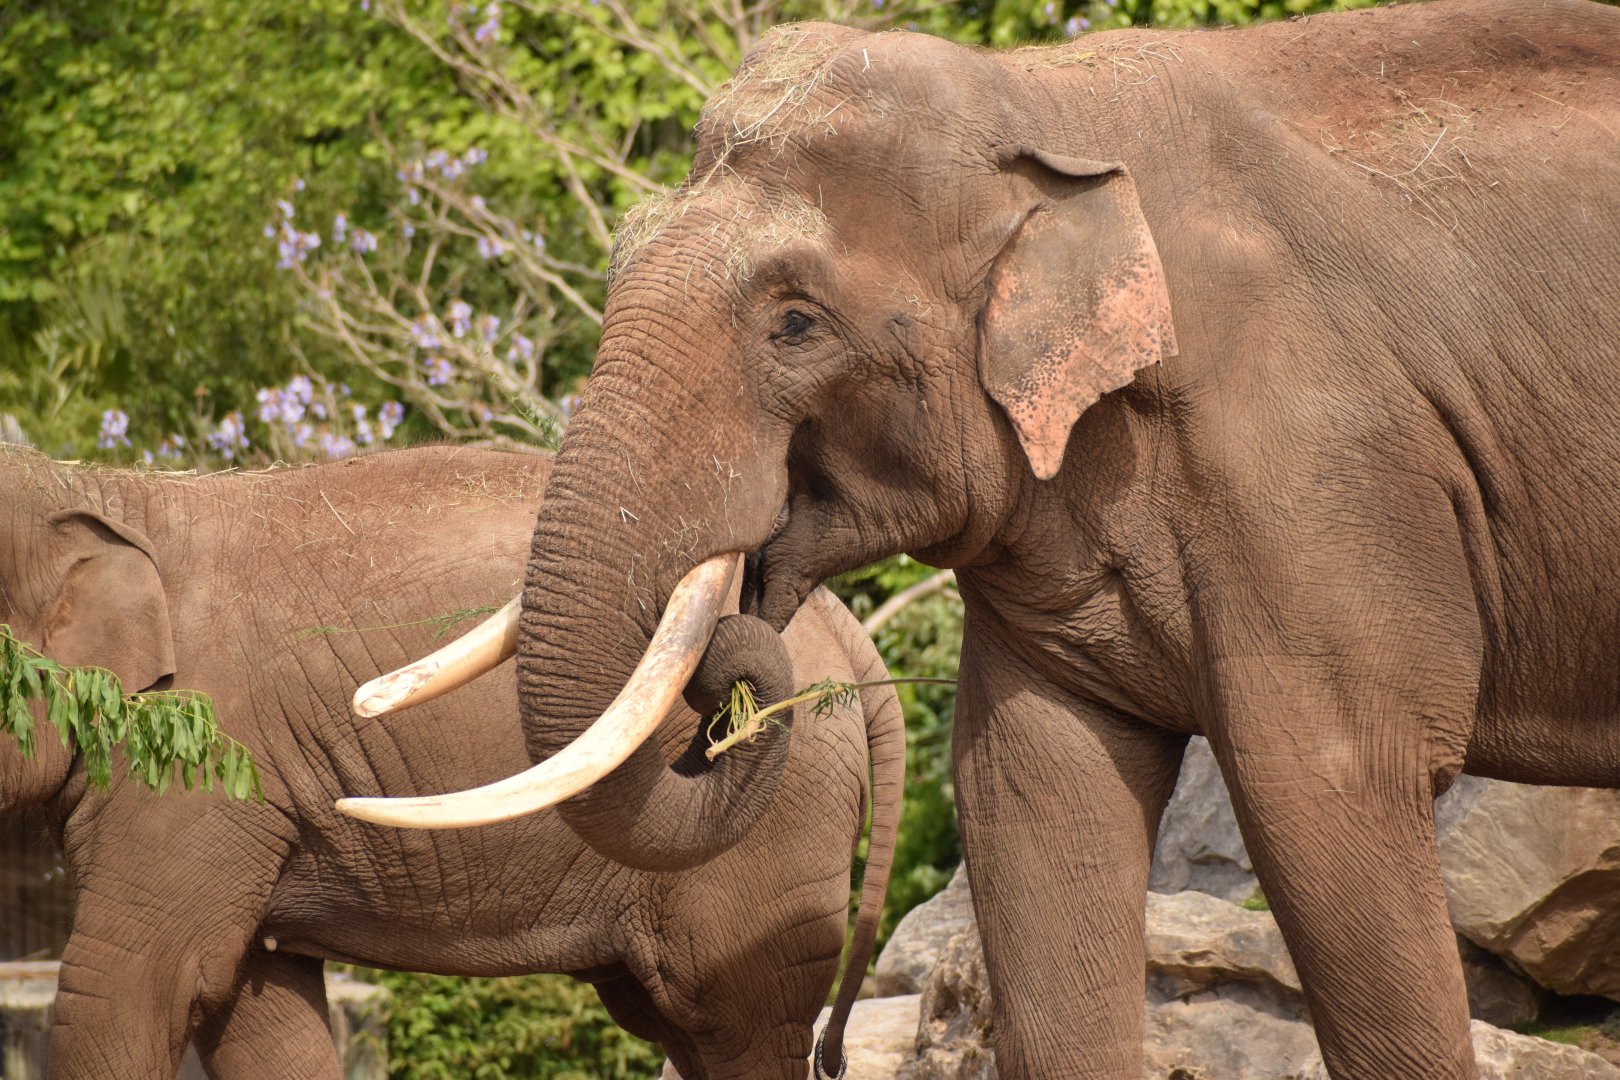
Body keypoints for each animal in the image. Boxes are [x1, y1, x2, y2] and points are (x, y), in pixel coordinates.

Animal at [0, 444, 901, 1080]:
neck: (104, 489)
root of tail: (848, 631)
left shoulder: (200, 770)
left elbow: (131, 990)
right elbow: (260, 1017)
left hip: (772, 836)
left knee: (739, 1018)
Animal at [339, 1, 1620, 1077]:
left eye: (795, 324)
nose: (730, 681)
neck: (1052, 107)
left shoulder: (1320, 460)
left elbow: (1332, 785)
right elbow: (1035, 797)